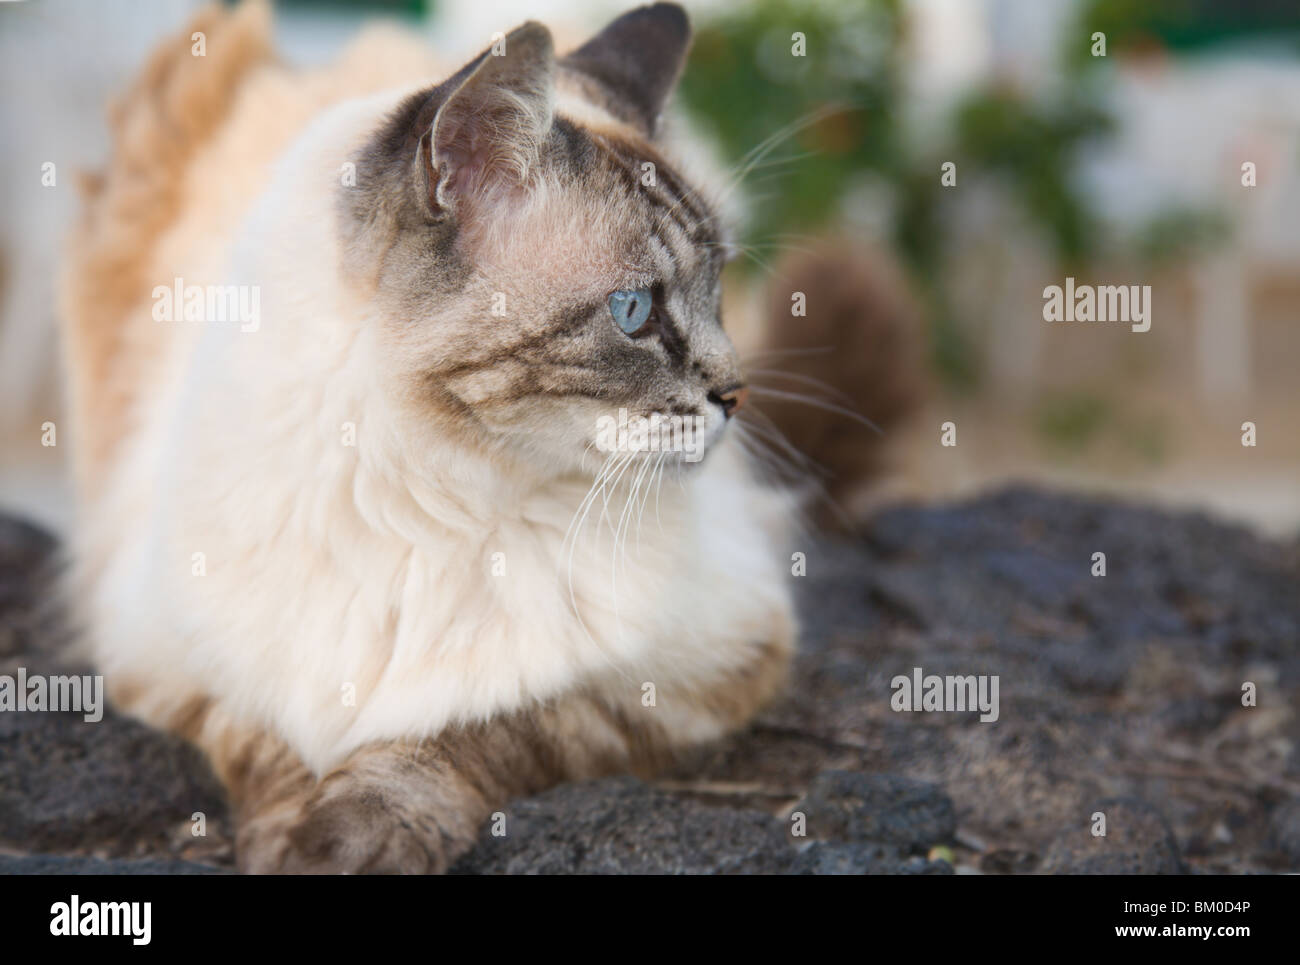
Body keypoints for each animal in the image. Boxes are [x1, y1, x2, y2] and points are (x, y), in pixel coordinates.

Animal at [58, 1, 915, 879]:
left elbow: (475, 730)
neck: (436, 494)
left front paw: (361, 829)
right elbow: (268, 743)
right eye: (636, 313)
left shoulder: (689, 671)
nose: (736, 396)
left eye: (717, 296)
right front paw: (292, 838)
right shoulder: (163, 660)